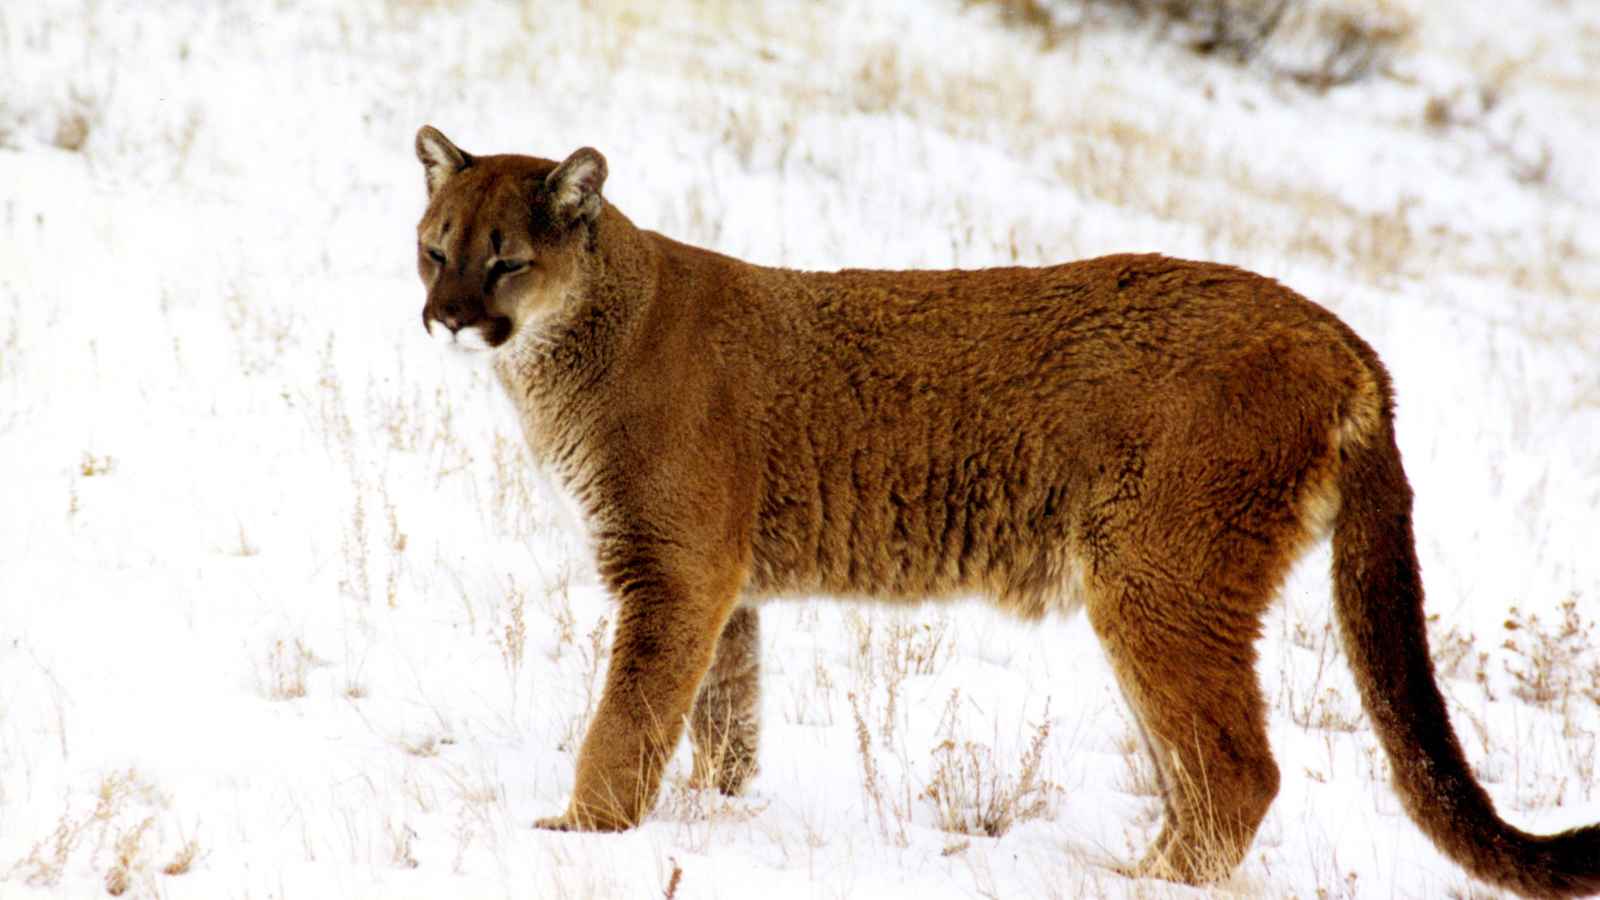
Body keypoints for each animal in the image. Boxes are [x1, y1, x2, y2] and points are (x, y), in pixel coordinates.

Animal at [411, 125, 1599, 898]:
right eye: (434, 248)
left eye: (505, 260)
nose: (445, 318)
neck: (580, 342)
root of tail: (1341, 334)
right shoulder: (719, 584)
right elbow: (722, 715)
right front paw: (719, 812)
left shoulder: (674, 569)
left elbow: (627, 718)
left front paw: (581, 832)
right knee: (1205, 769)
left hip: (1155, 581)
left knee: (1236, 769)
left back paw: (1142, 884)